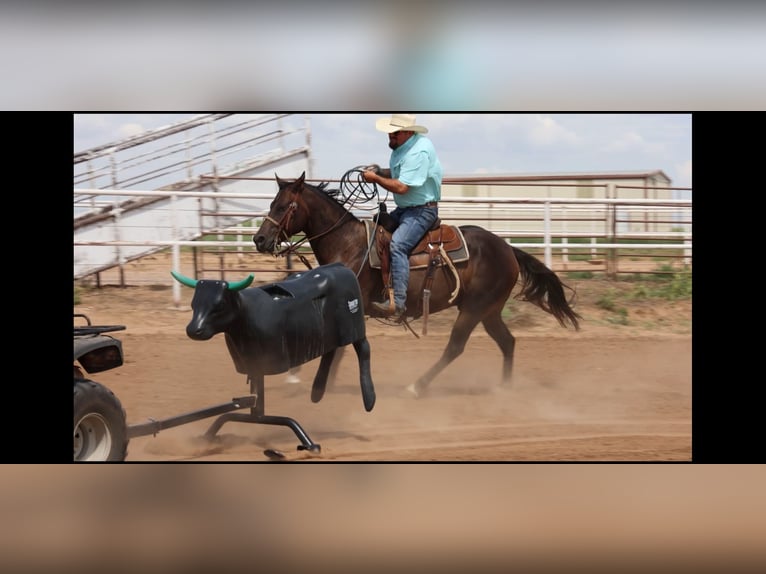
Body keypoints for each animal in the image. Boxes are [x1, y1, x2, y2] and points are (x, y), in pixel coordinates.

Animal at [252, 171, 584, 396]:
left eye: (285, 206)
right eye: (271, 203)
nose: (259, 239)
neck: (348, 244)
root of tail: (508, 249)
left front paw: (312, 381)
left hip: (474, 309)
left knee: (455, 347)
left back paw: (417, 386)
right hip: (488, 311)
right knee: (507, 342)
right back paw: (504, 387)